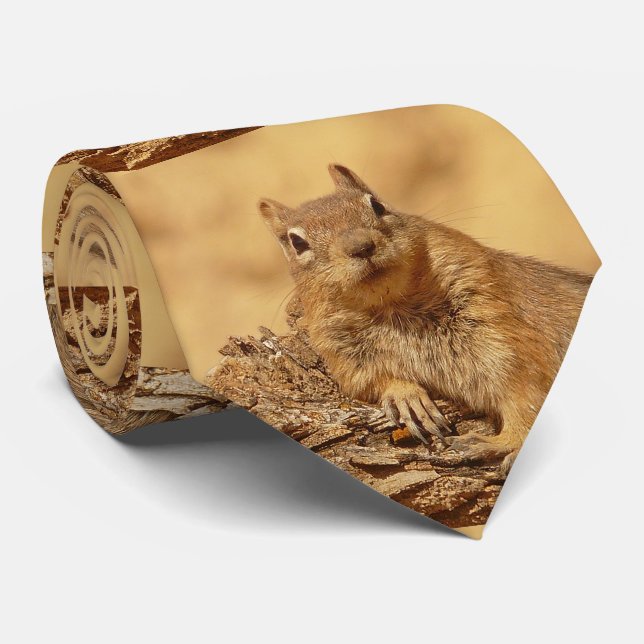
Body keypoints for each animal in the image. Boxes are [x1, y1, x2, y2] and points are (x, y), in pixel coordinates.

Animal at [258, 164, 592, 474]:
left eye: (377, 205)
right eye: (297, 243)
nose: (361, 246)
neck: (393, 307)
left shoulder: (507, 337)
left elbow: (525, 397)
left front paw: (503, 442)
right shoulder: (345, 357)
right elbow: (373, 382)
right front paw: (406, 397)